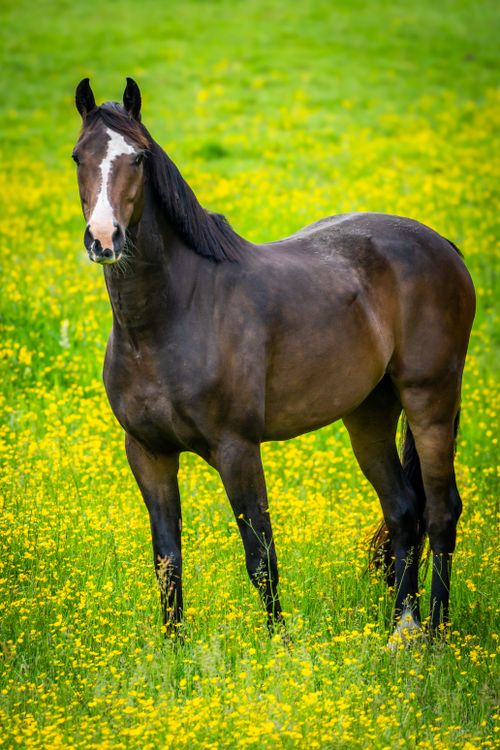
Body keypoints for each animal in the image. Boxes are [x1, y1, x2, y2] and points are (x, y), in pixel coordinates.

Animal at [73, 77, 475, 641]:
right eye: (78, 157)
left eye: (138, 157)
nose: (104, 239)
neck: (172, 317)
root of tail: (443, 246)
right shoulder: (147, 453)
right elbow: (167, 559)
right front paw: (172, 648)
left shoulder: (237, 449)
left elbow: (261, 556)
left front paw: (278, 644)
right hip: (369, 414)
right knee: (403, 510)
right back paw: (402, 628)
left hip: (430, 401)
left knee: (441, 513)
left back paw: (434, 632)